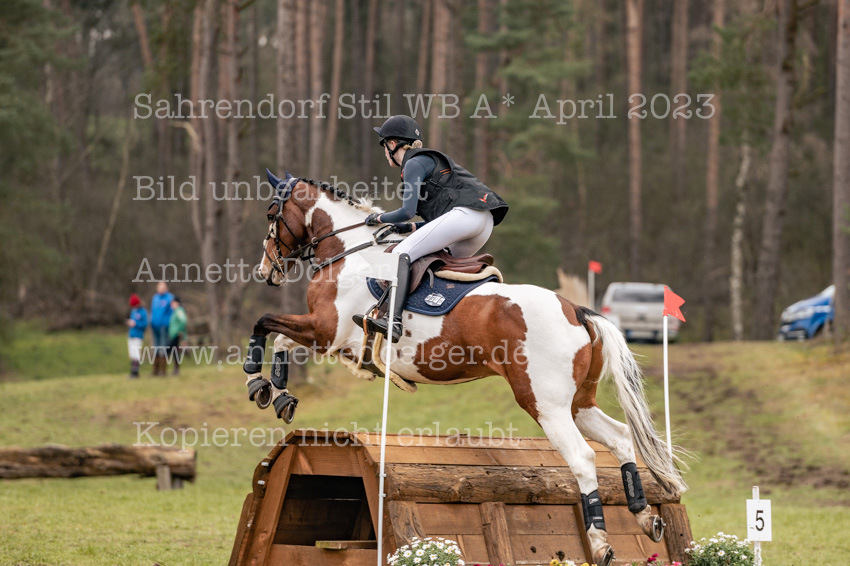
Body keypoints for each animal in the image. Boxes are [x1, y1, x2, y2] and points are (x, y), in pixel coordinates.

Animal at [244, 171, 687, 566]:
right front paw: (279, 395)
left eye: (270, 213)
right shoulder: (333, 340)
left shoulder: (326, 331)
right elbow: (280, 340)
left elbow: (264, 323)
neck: (348, 252)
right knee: (621, 438)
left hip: (543, 402)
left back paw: (600, 544)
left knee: (582, 457)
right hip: (577, 402)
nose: (265, 270)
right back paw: (645, 518)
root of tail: (577, 310)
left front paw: (257, 382)